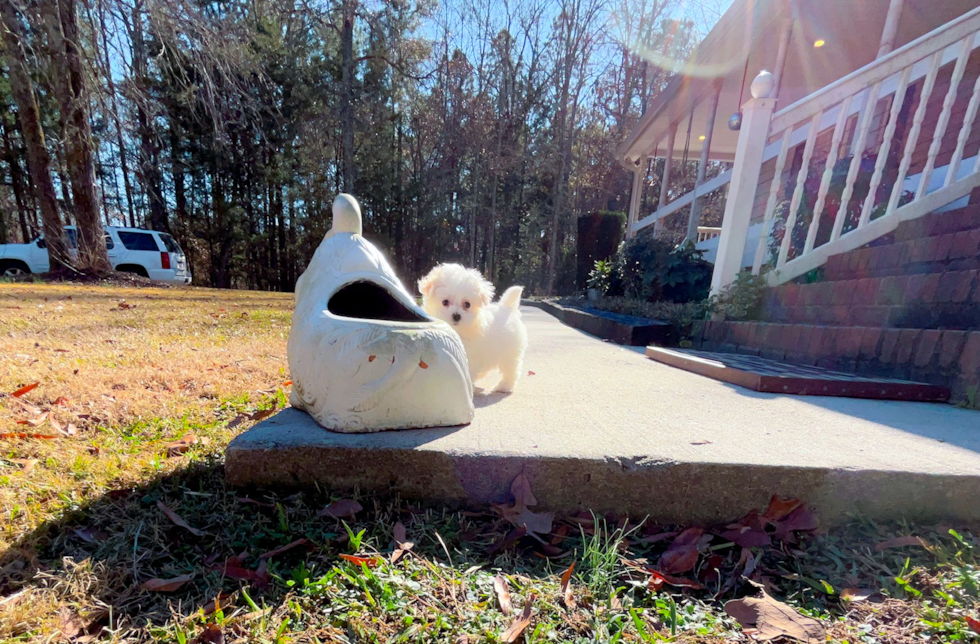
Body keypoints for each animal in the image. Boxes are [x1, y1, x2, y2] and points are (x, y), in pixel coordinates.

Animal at [420, 262, 528, 392]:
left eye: (467, 304)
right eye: (445, 302)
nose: (456, 316)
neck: (458, 331)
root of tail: (508, 308)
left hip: (509, 352)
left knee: (510, 370)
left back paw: (504, 386)